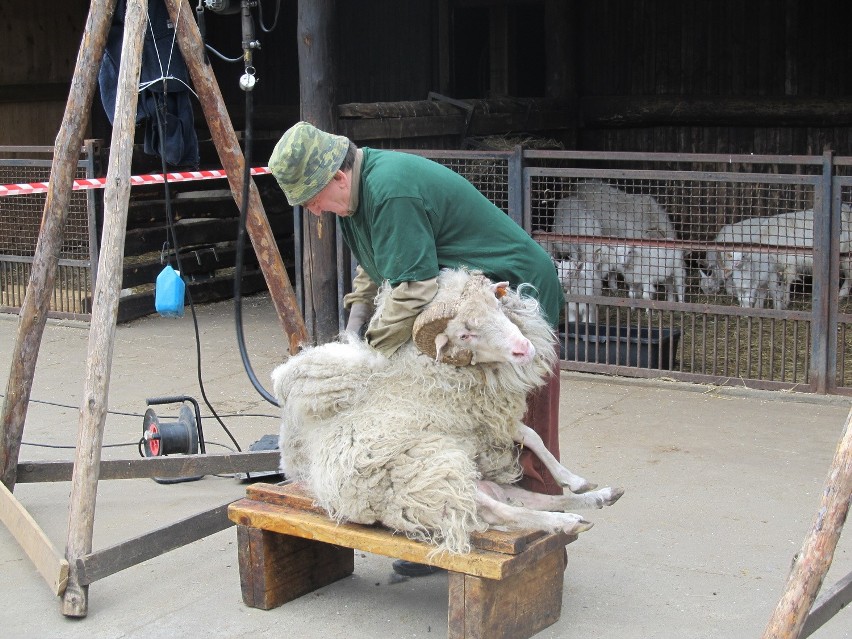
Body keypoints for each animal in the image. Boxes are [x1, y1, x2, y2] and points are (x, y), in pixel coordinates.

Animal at [272, 268, 624, 552]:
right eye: (465, 333)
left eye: (497, 305)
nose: (524, 349)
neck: (424, 372)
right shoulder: (476, 418)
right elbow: (529, 436)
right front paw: (572, 490)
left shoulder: (480, 421)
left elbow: (532, 436)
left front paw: (575, 480)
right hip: (438, 472)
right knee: (502, 510)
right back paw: (566, 521)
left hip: (466, 475)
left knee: (523, 499)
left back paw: (600, 497)